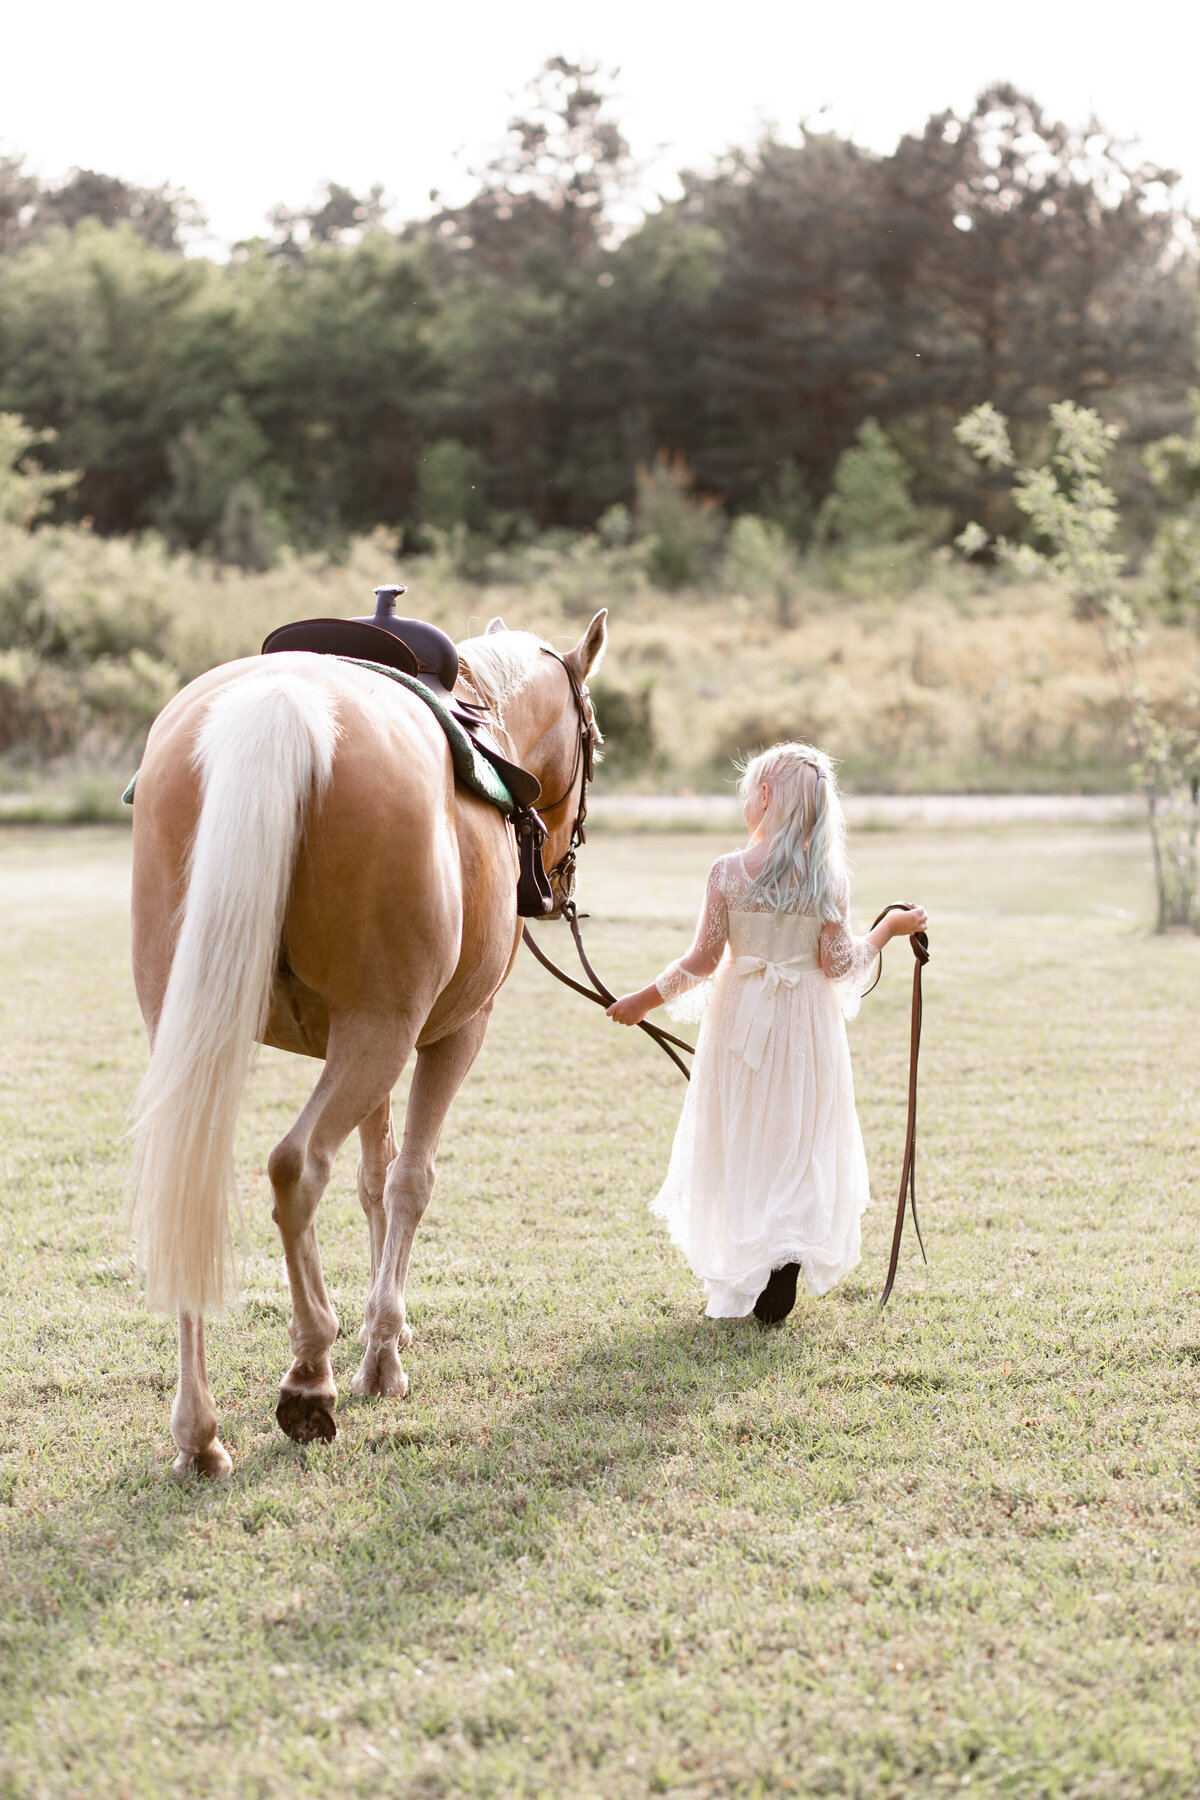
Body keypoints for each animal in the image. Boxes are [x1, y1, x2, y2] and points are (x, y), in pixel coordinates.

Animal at [129, 608, 611, 1476]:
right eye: (595, 740)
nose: (558, 885)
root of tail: (280, 703)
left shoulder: (361, 1050)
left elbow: (373, 1178)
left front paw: (387, 1329)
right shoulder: (445, 1034)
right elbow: (408, 1180)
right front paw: (380, 1352)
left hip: (211, 1030)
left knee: (188, 1179)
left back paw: (198, 1432)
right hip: (379, 1032)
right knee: (296, 1167)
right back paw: (309, 1373)